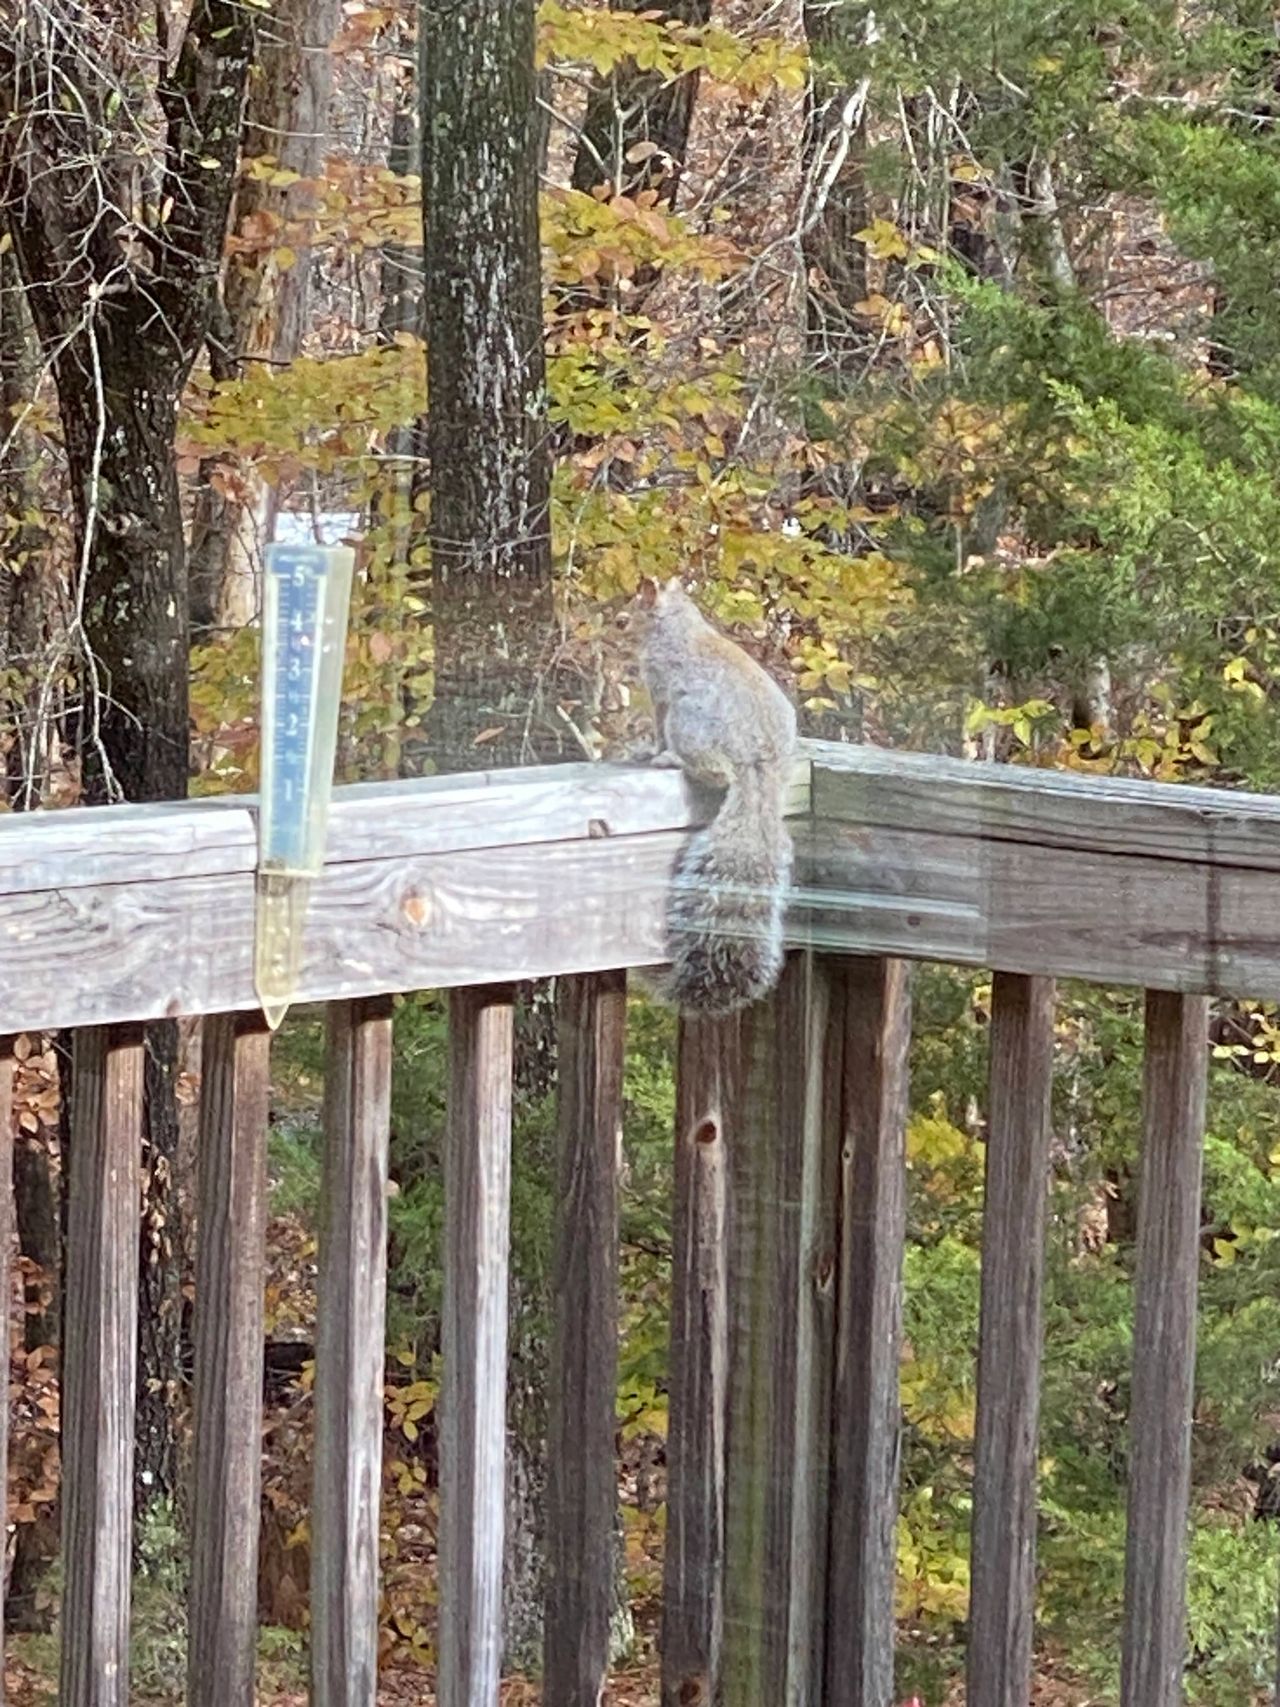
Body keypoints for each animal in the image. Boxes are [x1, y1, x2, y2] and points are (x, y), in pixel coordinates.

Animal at [635, 577, 797, 1017]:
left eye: (627, 614)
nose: (617, 622)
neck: (679, 622)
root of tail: (760, 762)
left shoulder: (660, 687)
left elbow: (656, 719)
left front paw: (646, 750)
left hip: (689, 722)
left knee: (715, 770)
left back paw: (671, 760)